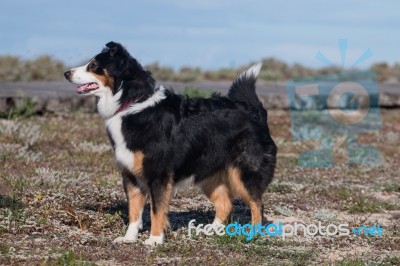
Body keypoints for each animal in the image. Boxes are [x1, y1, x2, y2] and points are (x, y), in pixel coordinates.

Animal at [64, 42, 276, 245]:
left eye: (94, 65)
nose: (66, 73)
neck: (130, 102)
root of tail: (254, 109)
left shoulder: (158, 174)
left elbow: (156, 211)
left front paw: (155, 239)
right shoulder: (131, 176)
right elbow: (134, 211)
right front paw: (129, 238)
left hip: (244, 173)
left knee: (257, 204)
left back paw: (253, 235)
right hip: (208, 174)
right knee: (226, 204)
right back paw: (210, 231)